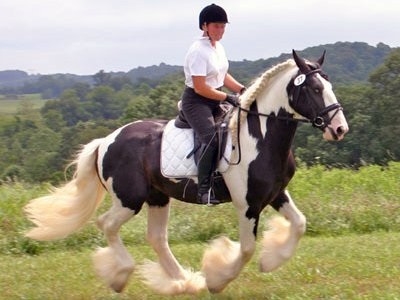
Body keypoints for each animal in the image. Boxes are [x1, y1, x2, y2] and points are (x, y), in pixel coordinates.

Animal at [25, 49, 348, 296]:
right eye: (315, 89)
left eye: (329, 86)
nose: (339, 129)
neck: (260, 137)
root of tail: (106, 141)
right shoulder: (247, 204)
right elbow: (245, 249)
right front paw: (217, 279)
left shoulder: (274, 194)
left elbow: (300, 224)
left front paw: (270, 261)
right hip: (129, 199)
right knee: (107, 224)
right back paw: (121, 275)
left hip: (157, 197)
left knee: (156, 238)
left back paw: (183, 281)